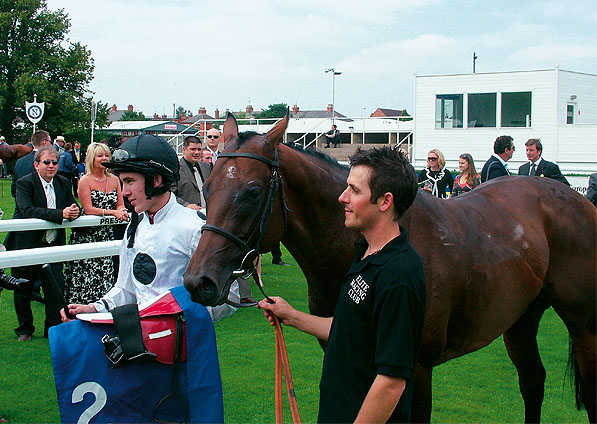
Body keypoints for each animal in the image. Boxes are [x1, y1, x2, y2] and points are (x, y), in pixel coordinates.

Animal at [184, 113, 592, 424]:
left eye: (253, 192)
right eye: (210, 186)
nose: (198, 281)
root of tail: (573, 197)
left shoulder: (416, 370)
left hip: (585, 325)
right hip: (521, 317)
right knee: (533, 382)